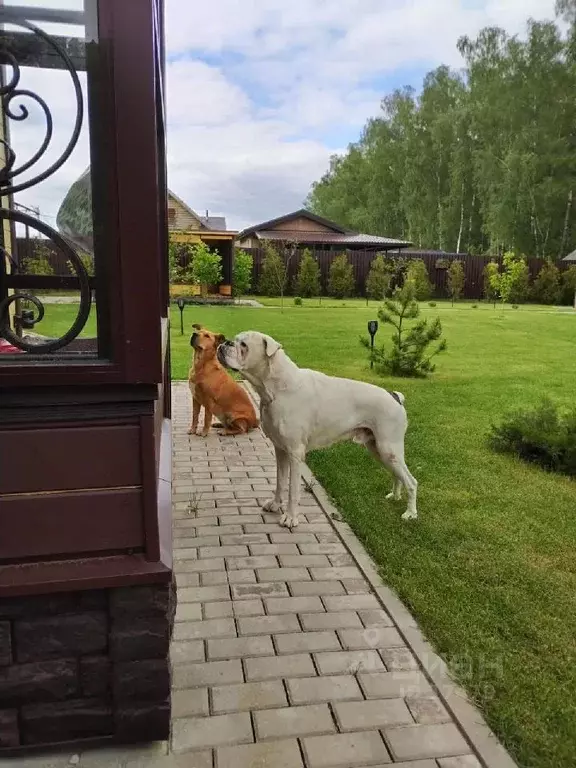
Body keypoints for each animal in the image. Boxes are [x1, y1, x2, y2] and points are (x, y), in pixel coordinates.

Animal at [217, 330, 418, 528]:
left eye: (244, 345)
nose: (225, 343)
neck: (276, 388)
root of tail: (395, 396)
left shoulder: (295, 453)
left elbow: (292, 489)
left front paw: (290, 518)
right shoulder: (280, 449)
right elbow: (280, 482)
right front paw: (275, 505)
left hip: (388, 449)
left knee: (411, 481)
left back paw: (410, 513)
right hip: (379, 449)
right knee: (398, 475)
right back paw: (395, 496)